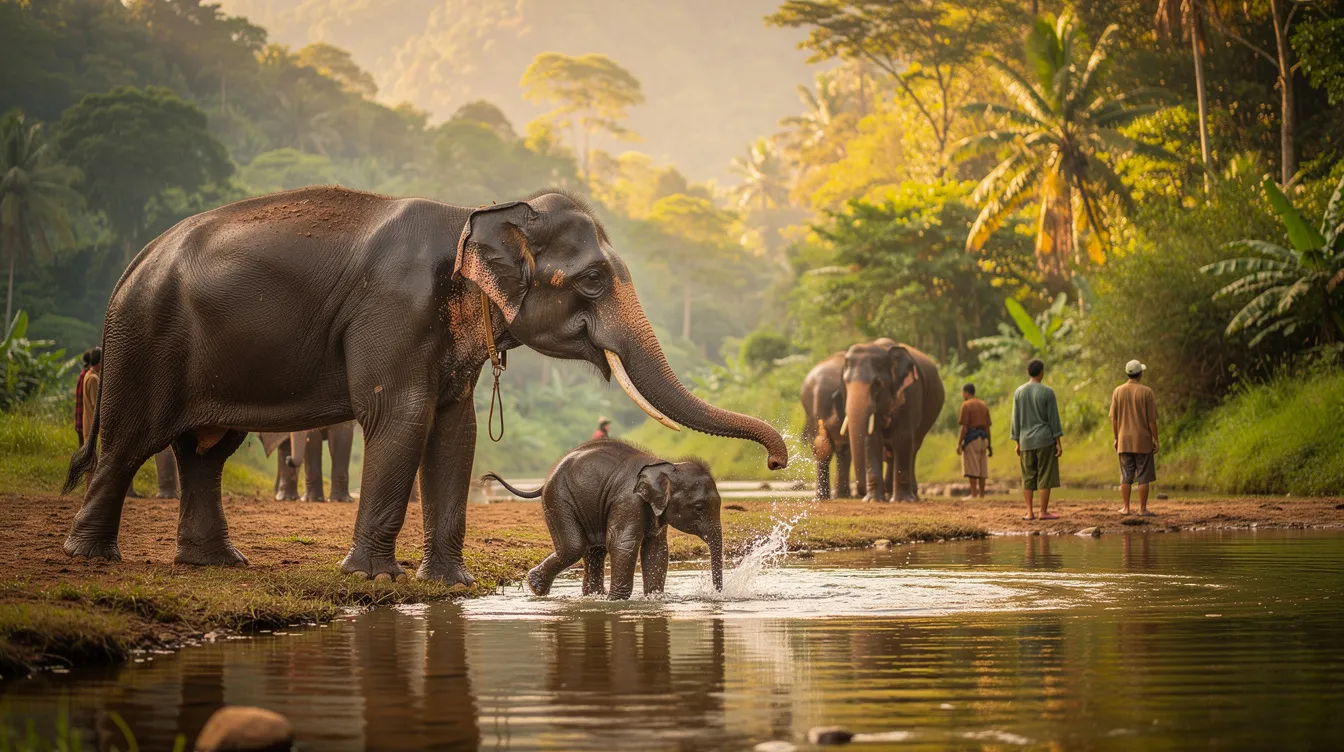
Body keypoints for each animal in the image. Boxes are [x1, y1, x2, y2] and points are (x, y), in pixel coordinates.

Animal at [63, 186, 786, 583]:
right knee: (131, 441)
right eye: (590, 280)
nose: (780, 460)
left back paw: (217, 564)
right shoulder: (395, 307)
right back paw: (91, 556)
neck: (480, 214)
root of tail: (137, 260)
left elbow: (454, 428)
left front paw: (451, 583)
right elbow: (402, 418)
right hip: (146, 337)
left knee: (207, 449)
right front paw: (373, 579)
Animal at [482, 439, 723, 600]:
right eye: (699, 507)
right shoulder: (628, 501)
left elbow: (657, 549)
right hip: (559, 500)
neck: (665, 466)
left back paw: (590, 596)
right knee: (574, 548)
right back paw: (536, 587)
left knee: (595, 551)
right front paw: (616, 602)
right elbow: (623, 544)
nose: (717, 595)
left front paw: (654, 599)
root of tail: (544, 482)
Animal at [841, 339, 944, 502]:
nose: (861, 492)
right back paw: (890, 494)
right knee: (890, 452)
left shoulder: (911, 391)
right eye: (846, 382)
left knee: (913, 448)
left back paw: (912, 495)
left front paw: (902, 501)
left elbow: (903, 436)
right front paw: (873, 500)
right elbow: (871, 439)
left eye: (877, 383)